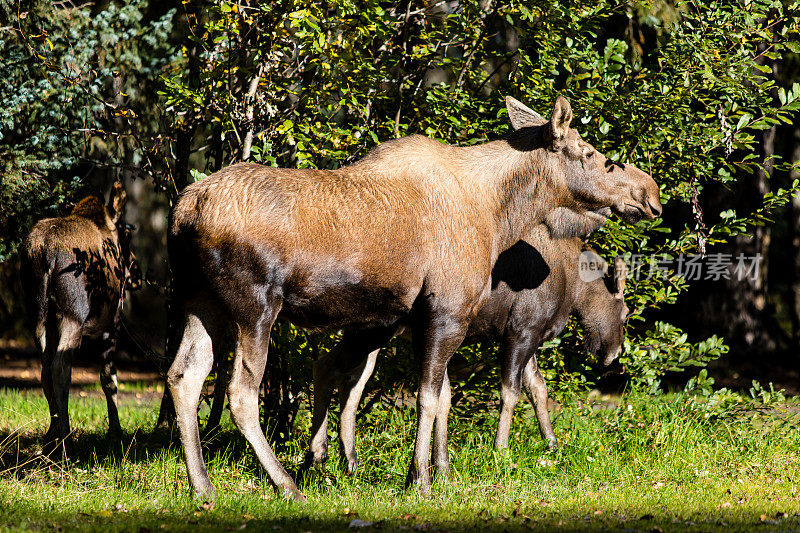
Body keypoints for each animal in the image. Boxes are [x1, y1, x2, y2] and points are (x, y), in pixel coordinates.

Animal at [22, 182, 141, 454]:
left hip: (38, 315)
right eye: (126, 237)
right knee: (60, 367)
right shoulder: (112, 322)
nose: (137, 272)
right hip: (72, 315)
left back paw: (51, 435)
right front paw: (115, 431)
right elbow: (109, 378)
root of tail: (44, 252)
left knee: (45, 369)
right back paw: (66, 440)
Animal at [310, 224, 628, 474]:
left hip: (377, 333)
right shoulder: (521, 331)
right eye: (625, 313)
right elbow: (510, 393)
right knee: (328, 366)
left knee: (354, 380)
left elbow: (538, 388)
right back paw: (320, 455)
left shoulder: (530, 335)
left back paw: (349, 459)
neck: (572, 289)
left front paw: (551, 443)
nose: (613, 354)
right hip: (373, 329)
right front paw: (500, 450)